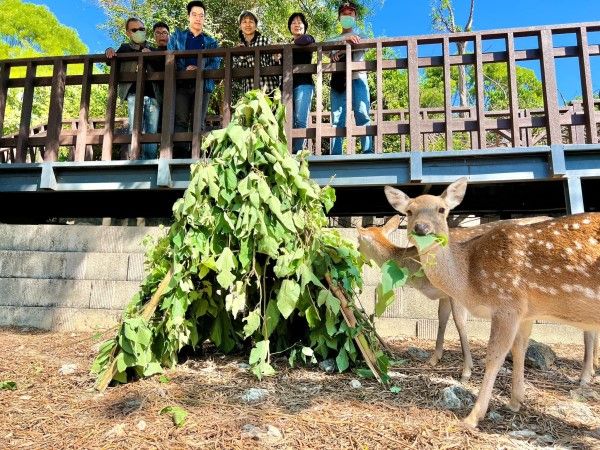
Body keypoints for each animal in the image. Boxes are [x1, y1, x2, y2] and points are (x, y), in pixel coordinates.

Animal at [384, 178, 600, 428]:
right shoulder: (525, 312)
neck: (469, 279)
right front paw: (515, 401)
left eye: (442, 209)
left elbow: (495, 356)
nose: (421, 228)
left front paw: (473, 417)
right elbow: (519, 349)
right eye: (409, 211)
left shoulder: (507, 302)